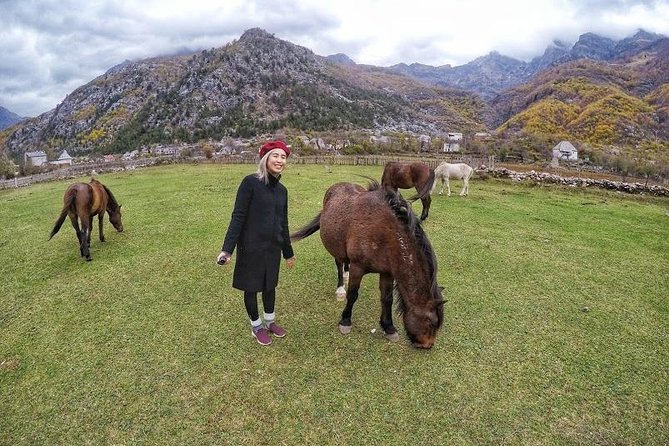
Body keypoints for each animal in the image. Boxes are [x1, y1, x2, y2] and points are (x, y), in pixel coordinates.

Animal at [290, 181, 440, 348]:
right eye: (431, 322)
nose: (428, 345)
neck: (384, 233)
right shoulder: (358, 268)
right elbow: (353, 294)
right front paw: (345, 321)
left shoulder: (387, 272)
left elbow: (387, 299)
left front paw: (389, 327)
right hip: (336, 246)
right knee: (339, 263)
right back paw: (340, 288)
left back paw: (346, 274)